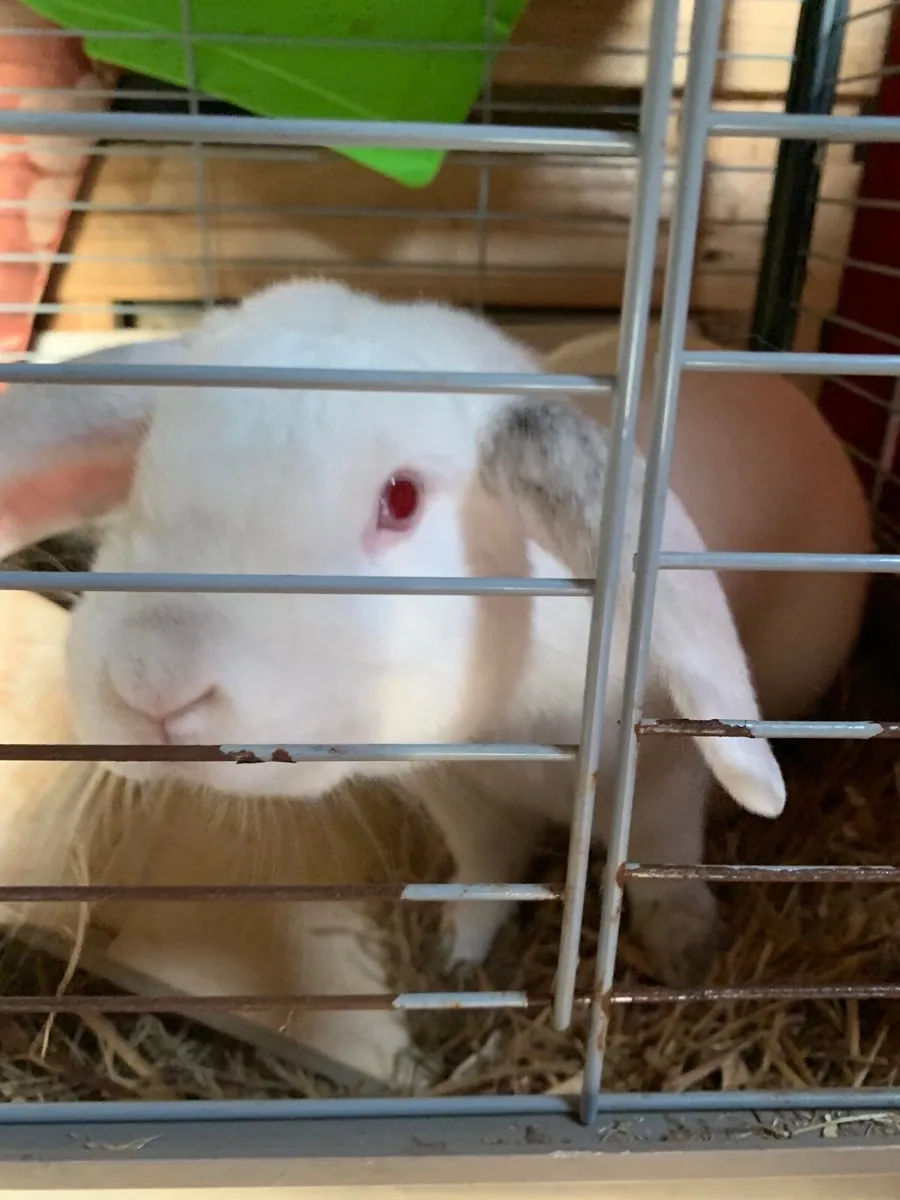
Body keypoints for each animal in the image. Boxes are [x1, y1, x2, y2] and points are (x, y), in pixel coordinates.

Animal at [0, 278, 867, 988]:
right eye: (144, 472)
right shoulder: (459, 797)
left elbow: (659, 863)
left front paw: (689, 953)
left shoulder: (665, 778)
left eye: (403, 499)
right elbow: (487, 867)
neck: (511, 734)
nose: (152, 685)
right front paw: (459, 950)